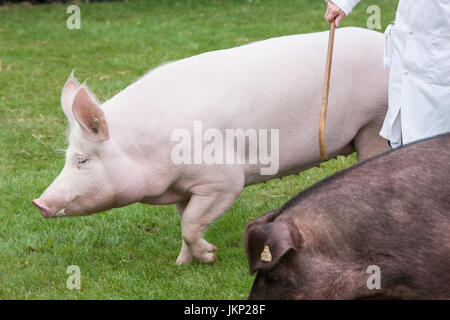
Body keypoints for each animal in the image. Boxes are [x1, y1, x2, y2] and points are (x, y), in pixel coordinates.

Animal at [31, 27, 390, 264]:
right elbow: (185, 221)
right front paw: (182, 264)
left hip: (375, 125)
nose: (39, 202)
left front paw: (210, 256)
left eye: (82, 160)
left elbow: (191, 224)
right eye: (67, 157)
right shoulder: (183, 189)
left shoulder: (224, 180)